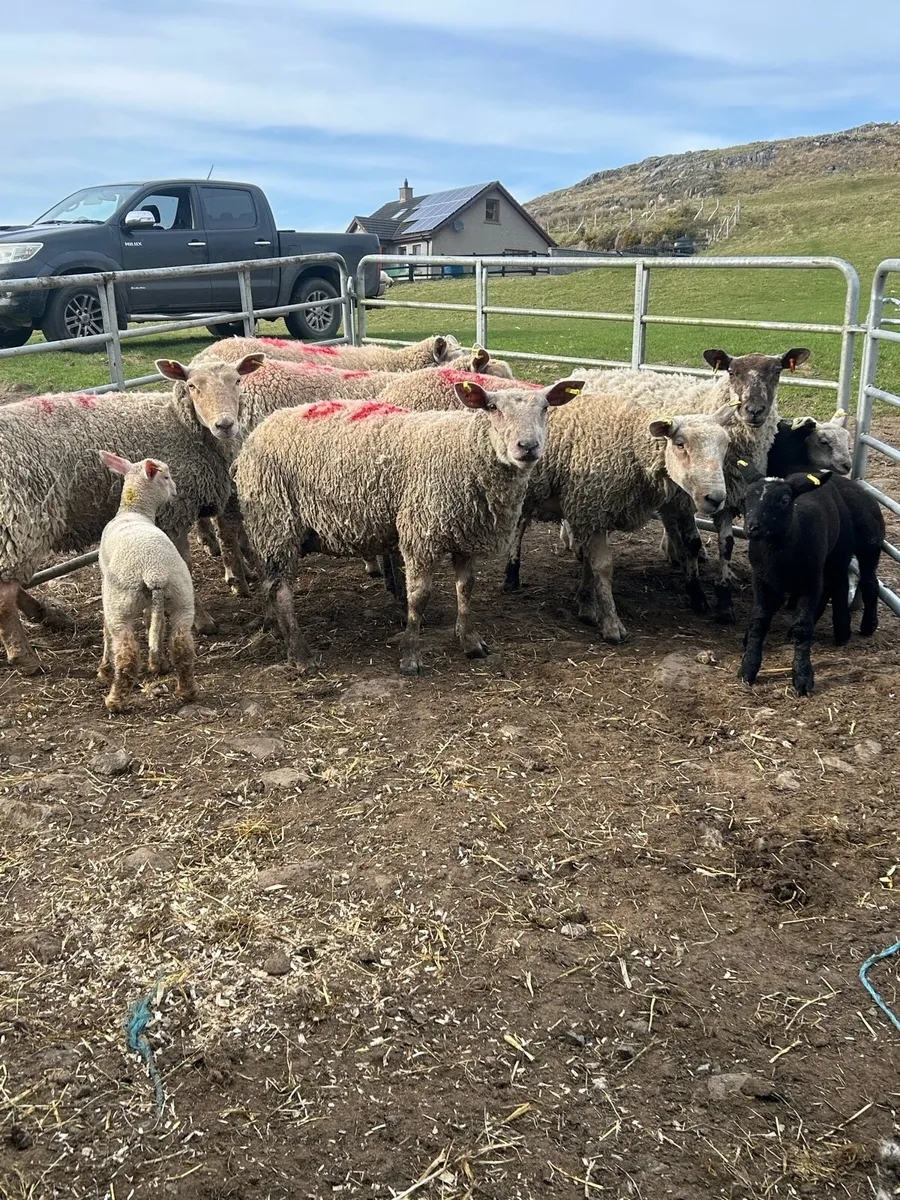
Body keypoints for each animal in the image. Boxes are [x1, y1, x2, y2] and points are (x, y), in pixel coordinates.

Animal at [0, 354, 263, 675]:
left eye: (237, 380)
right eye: (192, 386)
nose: (224, 425)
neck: (180, 426)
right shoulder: (173, 513)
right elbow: (184, 565)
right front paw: (202, 620)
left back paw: (48, 616)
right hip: (20, 517)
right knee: (4, 595)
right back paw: (24, 657)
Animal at [97, 453, 196, 713]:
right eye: (167, 477)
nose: (176, 490)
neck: (134, 511)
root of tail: (154, 571)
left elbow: (106, 630)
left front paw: (104, 670)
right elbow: (153, 623)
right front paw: (158, 662)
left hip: (120, 603)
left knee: (127, 653)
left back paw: (115, 701)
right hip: (182, 596)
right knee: (181, 645)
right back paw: (187, 691)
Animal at [233, 379, 582, 675]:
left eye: (545, 407)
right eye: (493, 407)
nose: (528, 446)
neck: (465, 451)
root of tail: (259, 430)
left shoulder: (465, 535)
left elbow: (466, 589)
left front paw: (471, 642)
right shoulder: (419, 531)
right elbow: (419, 596)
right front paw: (410, 656)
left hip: (269, 528)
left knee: (269, 582)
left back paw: (274, 630)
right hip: (276, 520)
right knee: (281, 591)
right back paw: (301, 655)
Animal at [578, 348, 810, 622]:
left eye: (777, 371)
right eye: (732, 372)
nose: (754, 410)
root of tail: (587, 371)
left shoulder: (725, 497)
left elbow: (726, 545)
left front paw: (724, 601)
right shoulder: (685, 499)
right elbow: (693, 541)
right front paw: (696, 593)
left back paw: (675, 554)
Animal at [737, 462, 853, 696]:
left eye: (784, 501)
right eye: (744, 498)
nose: (751, 528)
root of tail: (805, 473)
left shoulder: (811, 580)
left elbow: (802, 627)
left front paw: (802, 676)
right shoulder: (761, 579)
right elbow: (759, 620)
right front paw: (748, 667)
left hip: (836, 553)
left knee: (837, 584)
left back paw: (841, 630)